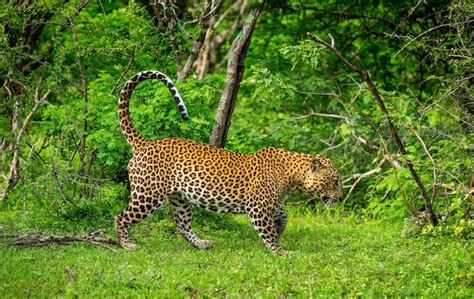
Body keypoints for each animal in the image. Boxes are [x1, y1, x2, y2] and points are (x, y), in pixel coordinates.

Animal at [116, 70, 342, 255]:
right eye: (335, 181)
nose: (340, 198)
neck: (293, 175)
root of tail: (144, 143)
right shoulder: (258, 206)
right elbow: (267, 232)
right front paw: (280, 251)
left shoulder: (271, 203)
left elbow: (284, 216)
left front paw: (280, 230)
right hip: (148, 194)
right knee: (121, 217)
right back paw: (127, 244)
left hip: (180, 198)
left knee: (182, 226)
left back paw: (202, 244)